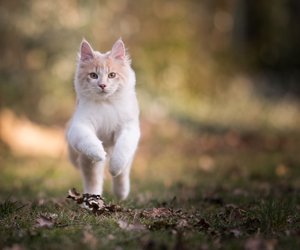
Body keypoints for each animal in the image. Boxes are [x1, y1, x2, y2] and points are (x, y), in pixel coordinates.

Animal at [66, 38, 140, 199]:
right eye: (93, 75)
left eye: (112, 75)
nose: (102, 85)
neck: (106, 104)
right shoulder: (80, 126)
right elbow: (90, 142)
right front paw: (99, 153)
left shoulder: (128, 128)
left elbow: (121, 153)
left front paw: (114, 167)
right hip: (87, 162)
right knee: (93, 181)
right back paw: (92, 200)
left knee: (122, 174)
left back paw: (121, 193)